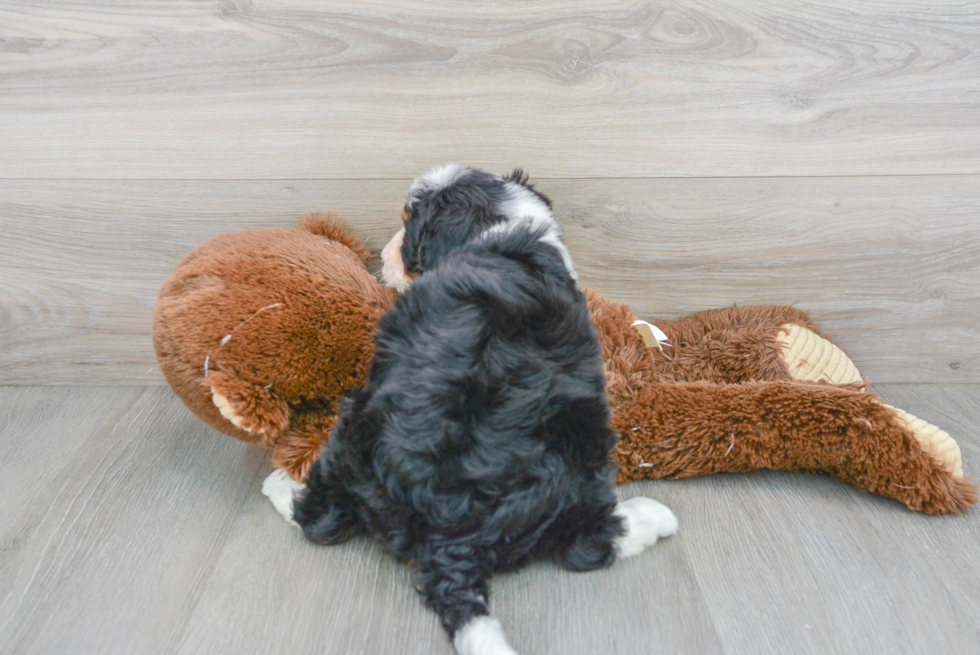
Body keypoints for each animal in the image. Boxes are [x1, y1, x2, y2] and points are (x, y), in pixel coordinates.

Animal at [270, 165, 680, 655]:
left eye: (408, 223)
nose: (383, 255)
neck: (494, 231)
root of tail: (452, 530)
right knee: (588, 540)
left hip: (354, 426)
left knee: (319, 518)